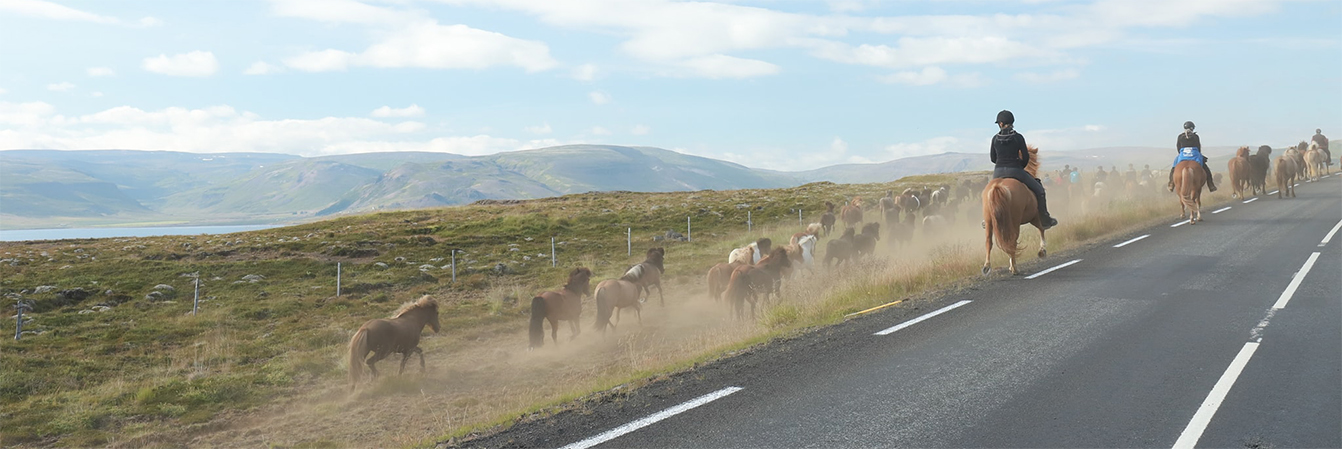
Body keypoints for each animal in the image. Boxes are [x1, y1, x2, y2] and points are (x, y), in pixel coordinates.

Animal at [982, 146, 1052, 276]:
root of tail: (998, 187)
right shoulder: (1035, 216)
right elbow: (1042, 228)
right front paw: (1042, 250)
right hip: (1014, 221)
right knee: (1012, 241)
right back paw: (1015, 268)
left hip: (989, 220)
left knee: (989, 242)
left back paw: (987, 267)